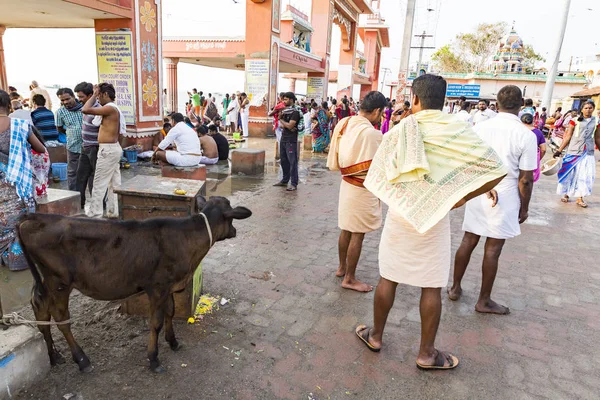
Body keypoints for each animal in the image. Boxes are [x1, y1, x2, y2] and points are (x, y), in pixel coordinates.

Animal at [17, 195, 251, 374]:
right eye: (231, 218)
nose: (235, 232)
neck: (186, 238)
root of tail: (34, 218)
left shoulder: (169, 285)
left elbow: (171, 311)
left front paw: (173, 342)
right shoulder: (157, 287)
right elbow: (155, 322)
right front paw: (154, 359)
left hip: (46, 281)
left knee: (40, 309)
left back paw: (54, 356)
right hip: (59, 282)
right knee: (61, 318)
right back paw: (82, 360)